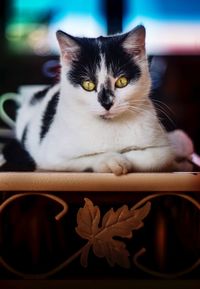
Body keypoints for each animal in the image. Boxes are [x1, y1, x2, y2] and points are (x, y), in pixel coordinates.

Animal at [10, 25, 177, 173]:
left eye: (122, 81)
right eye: (88, 84)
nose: (107, 103)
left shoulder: (164, 149)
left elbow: (156, 158)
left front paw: (126, 154)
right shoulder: (50, 156)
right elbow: (86, 158)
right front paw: (110, 159)